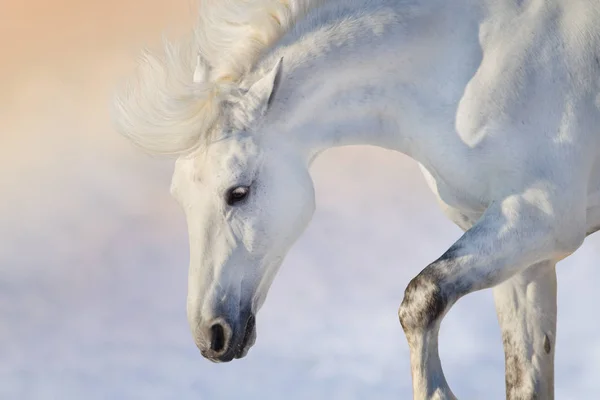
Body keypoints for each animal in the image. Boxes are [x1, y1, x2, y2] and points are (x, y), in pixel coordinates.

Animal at [111, 0, 600, 396]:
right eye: (179, 198)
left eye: (238, 192)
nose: (210, 335)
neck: (472, 62)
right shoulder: (525, 262)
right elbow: (524, 379)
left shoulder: (539, 219)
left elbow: (421, 297)